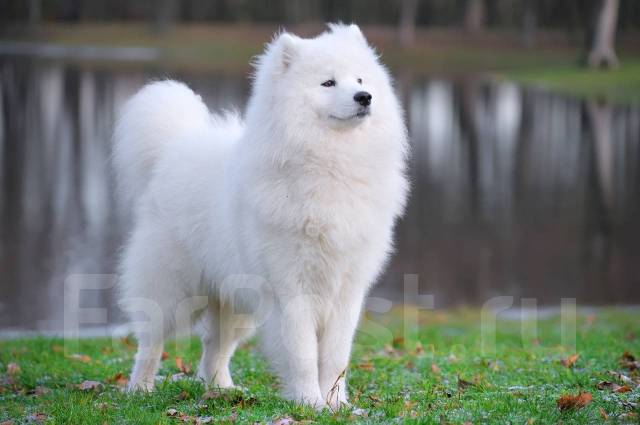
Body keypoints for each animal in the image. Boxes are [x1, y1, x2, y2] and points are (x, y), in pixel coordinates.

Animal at [113, 23, 408, 408]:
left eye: (360, 78)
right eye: (328, 83)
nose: (364, 97)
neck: (331, 163)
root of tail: (174, 148)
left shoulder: (347, 289)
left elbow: (335, 356)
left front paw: (337, 404)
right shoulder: (291, 287)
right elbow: (303, 353)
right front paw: (311, 403)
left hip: (235, 299)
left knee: (215, 348)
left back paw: (222, 389)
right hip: (171, 289)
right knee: (152, 341)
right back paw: (140, 388)